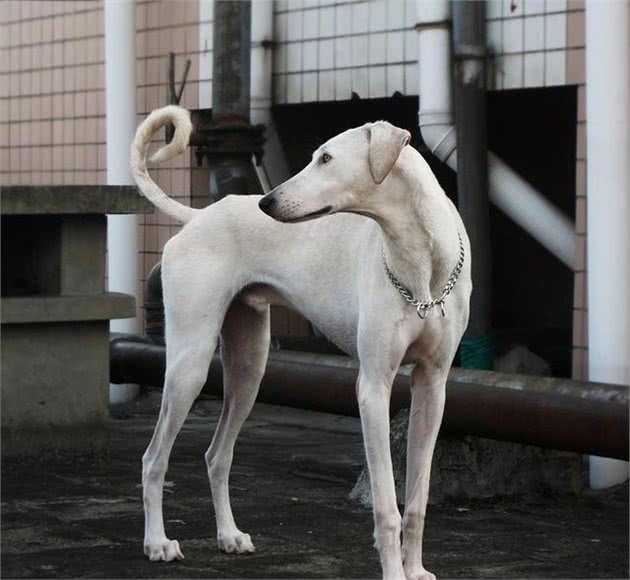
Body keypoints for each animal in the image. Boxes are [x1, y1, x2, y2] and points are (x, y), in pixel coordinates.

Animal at [131, 105, 472, 580]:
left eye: (326, 158)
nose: (266, 203)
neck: (421, 260)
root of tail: (199, 217)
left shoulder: (433, 385)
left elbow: (417, 498)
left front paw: (416, 570)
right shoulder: (373, 389)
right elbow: (387, 505)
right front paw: (393, 573)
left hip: (250, 369)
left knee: (218, 455)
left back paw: (229, 536)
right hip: (189, 366)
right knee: (153, 459)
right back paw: (157, 543)